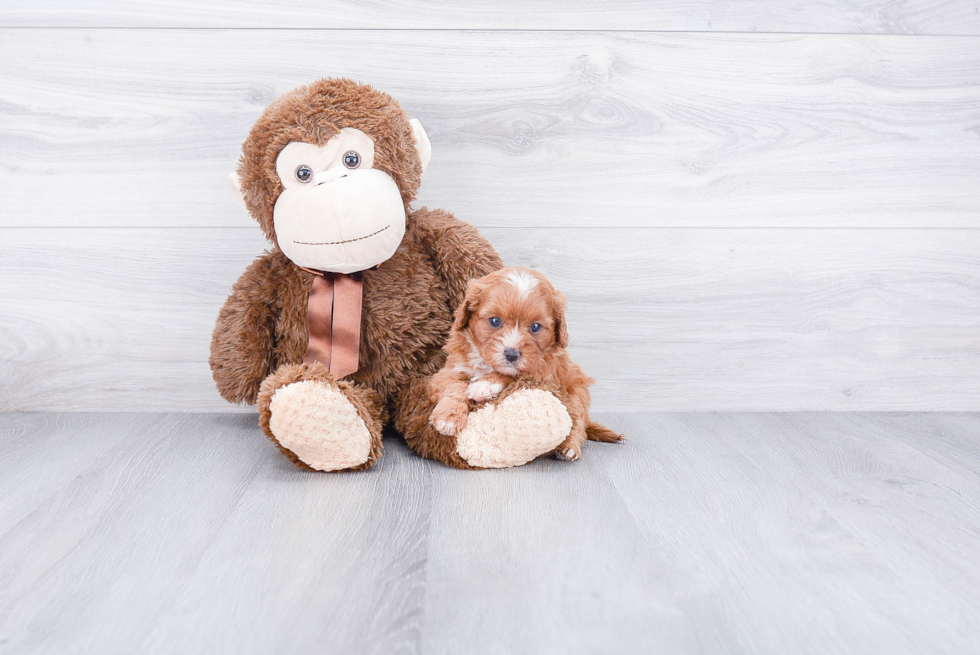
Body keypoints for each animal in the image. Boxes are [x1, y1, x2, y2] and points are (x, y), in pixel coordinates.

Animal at [426, 266, 620, 462]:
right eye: (494, 321)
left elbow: (514, 375)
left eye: (535, 327)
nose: (511, 354)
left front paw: (486, 385)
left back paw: (569, 447)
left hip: (576, 394)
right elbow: (455, 388)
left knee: (578, 425)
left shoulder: (543, 370)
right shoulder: (450, 370)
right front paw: (449, 418)